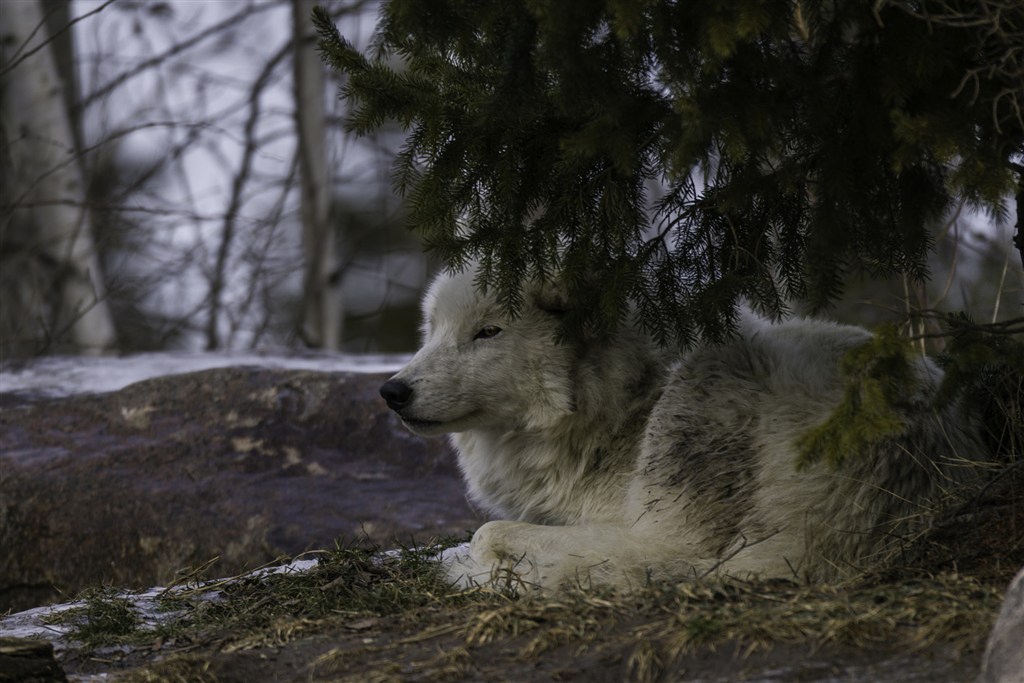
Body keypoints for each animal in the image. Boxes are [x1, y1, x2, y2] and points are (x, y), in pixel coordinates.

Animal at [382, 266, 983, 593]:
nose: (392, 391)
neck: (624, 404)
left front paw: (478, 563)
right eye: (433, 330)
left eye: (487, 332)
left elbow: (485, 533)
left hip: (703, 399)